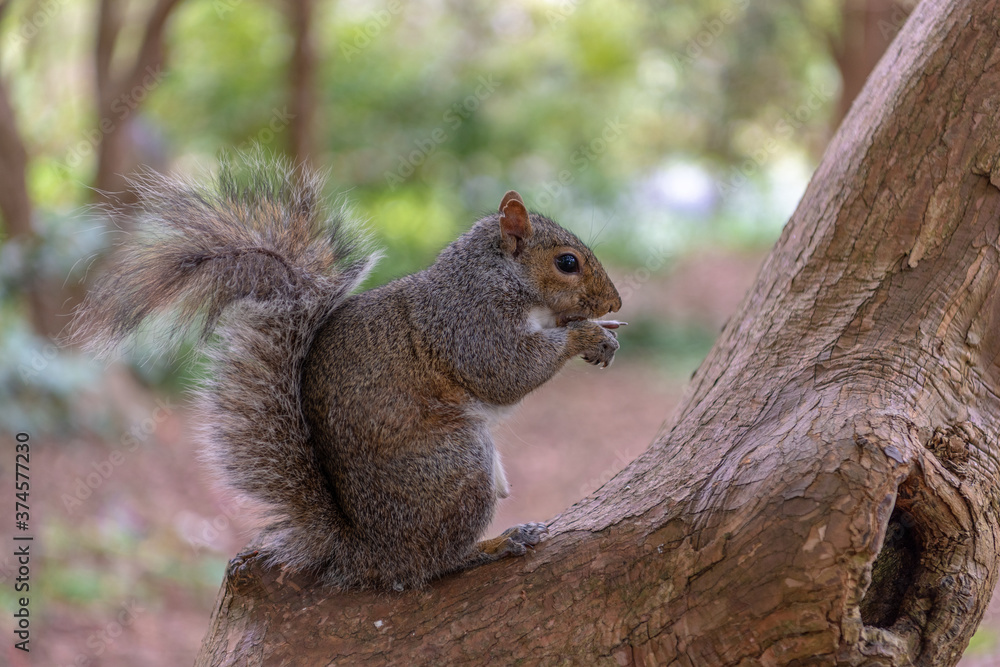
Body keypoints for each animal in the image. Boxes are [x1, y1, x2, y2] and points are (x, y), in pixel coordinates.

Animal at [76, 158, 624, 588]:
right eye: (567, 262)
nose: (616, 303)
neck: (498, 278)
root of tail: (368, 551)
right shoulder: (468, 324)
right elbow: (504, 370)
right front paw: (585, 335)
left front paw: (605, 332)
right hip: (455, 468)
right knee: (430, 565)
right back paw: (493, 545)